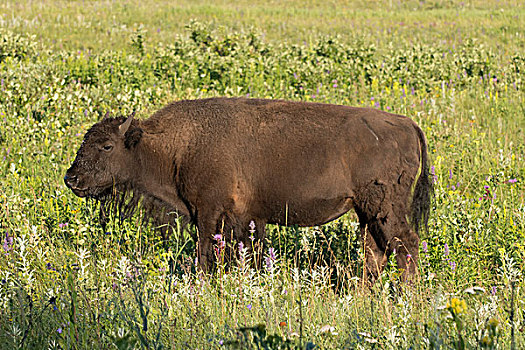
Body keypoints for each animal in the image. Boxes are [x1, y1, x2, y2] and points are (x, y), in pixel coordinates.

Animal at [64, 96, 430, 282]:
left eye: (107, 146)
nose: (72, 179)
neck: (179, 145)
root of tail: (409, 124)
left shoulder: (208, 211)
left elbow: (206, 252)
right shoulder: (243, 217)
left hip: (385, 209)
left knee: (405, 245)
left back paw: (408, 297)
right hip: (367, 212)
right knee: (376, 251)